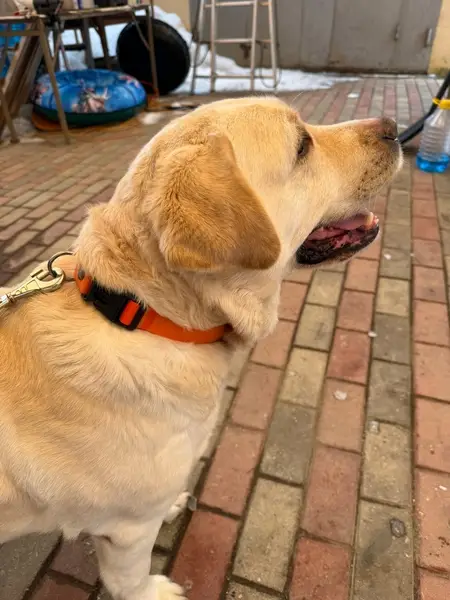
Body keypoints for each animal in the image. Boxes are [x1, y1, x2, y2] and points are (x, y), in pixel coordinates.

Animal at [0, 96, 401, 600]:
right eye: (302, 145)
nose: (394, 127)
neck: (145, 314)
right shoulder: (128, 529)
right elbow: (127, 578)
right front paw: (152, 592)